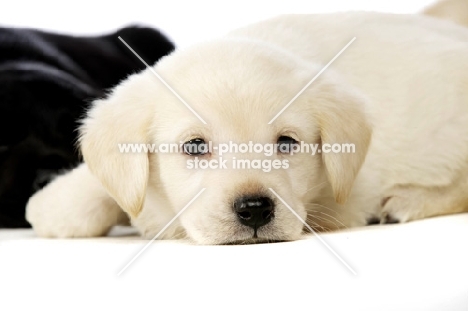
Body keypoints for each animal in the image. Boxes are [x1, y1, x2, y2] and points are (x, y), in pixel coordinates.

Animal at [26, 11, 468, 244]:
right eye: (194, 146)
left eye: (287, 143)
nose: (254, 210)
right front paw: (55, 204)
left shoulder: (345, 200)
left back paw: (407, 201)